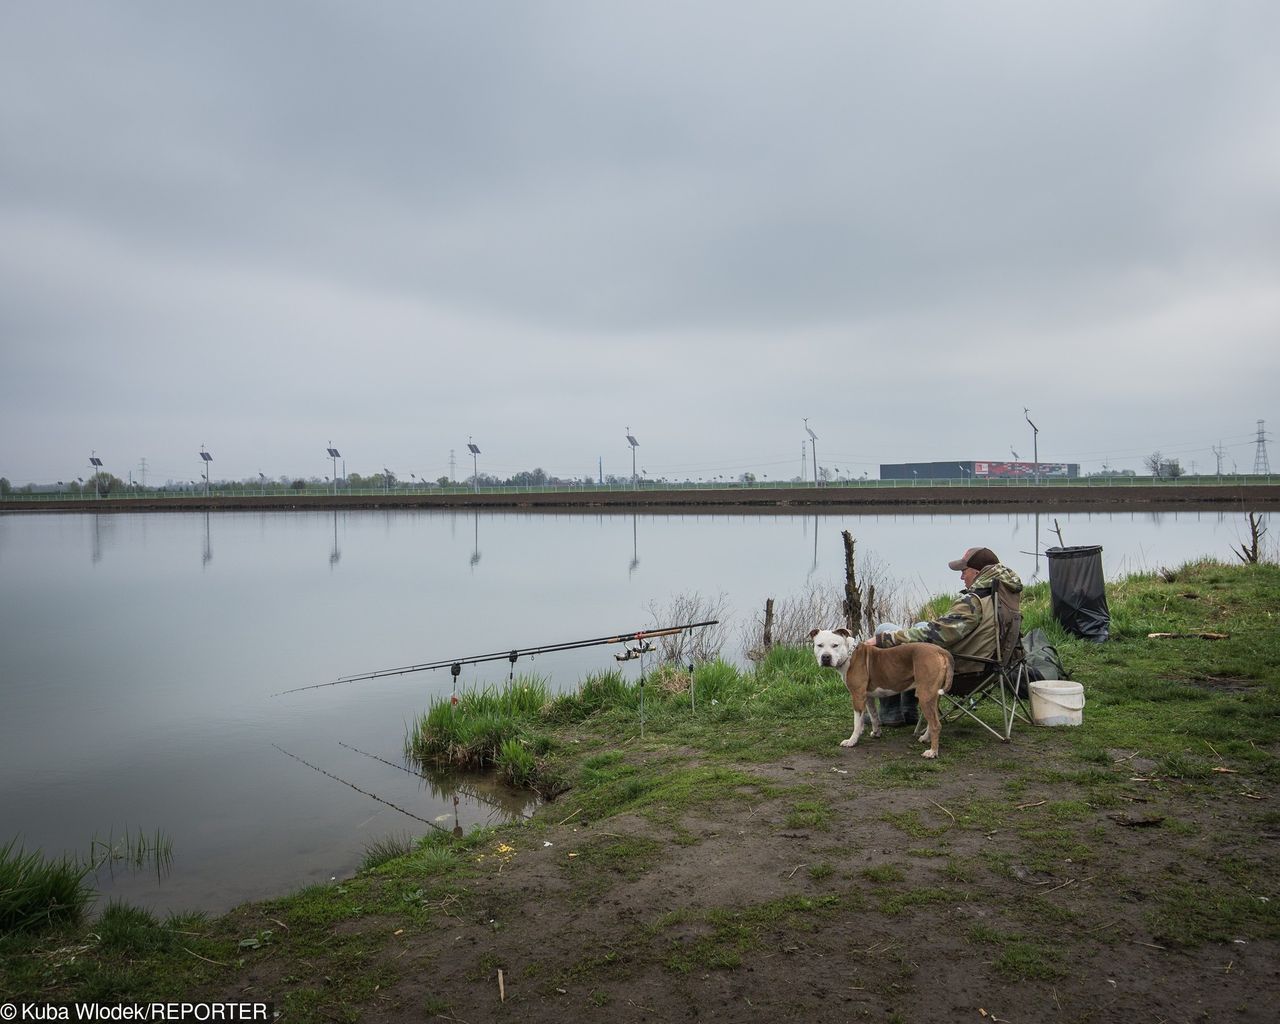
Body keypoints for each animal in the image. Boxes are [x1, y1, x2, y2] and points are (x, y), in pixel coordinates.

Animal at [808, 627, 952, 757]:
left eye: (835, 645)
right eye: (819, 645)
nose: (826, 657)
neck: (849, 655)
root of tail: (940, 650)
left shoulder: (857, 696)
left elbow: (857, 722)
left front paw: (852, 741)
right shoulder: (867, 696)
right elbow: (873, 716)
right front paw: (876, 733)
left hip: (925, 696)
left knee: (936, 724)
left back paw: (932, 752)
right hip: (932, 696)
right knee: (932, 720)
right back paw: (925, 738)